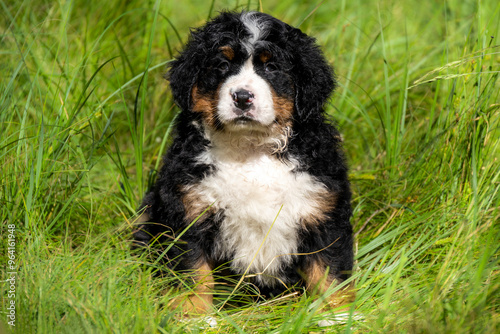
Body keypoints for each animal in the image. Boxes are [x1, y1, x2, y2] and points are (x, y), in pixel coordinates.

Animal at [132, 9, 352, 314]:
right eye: (222, 65)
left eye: (271, 67)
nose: (243, 97)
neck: (250, 149)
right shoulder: (188, 210)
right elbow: (194, 272)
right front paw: (195, 315)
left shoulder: (323, 214)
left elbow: (330, 272)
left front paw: (338, 316)